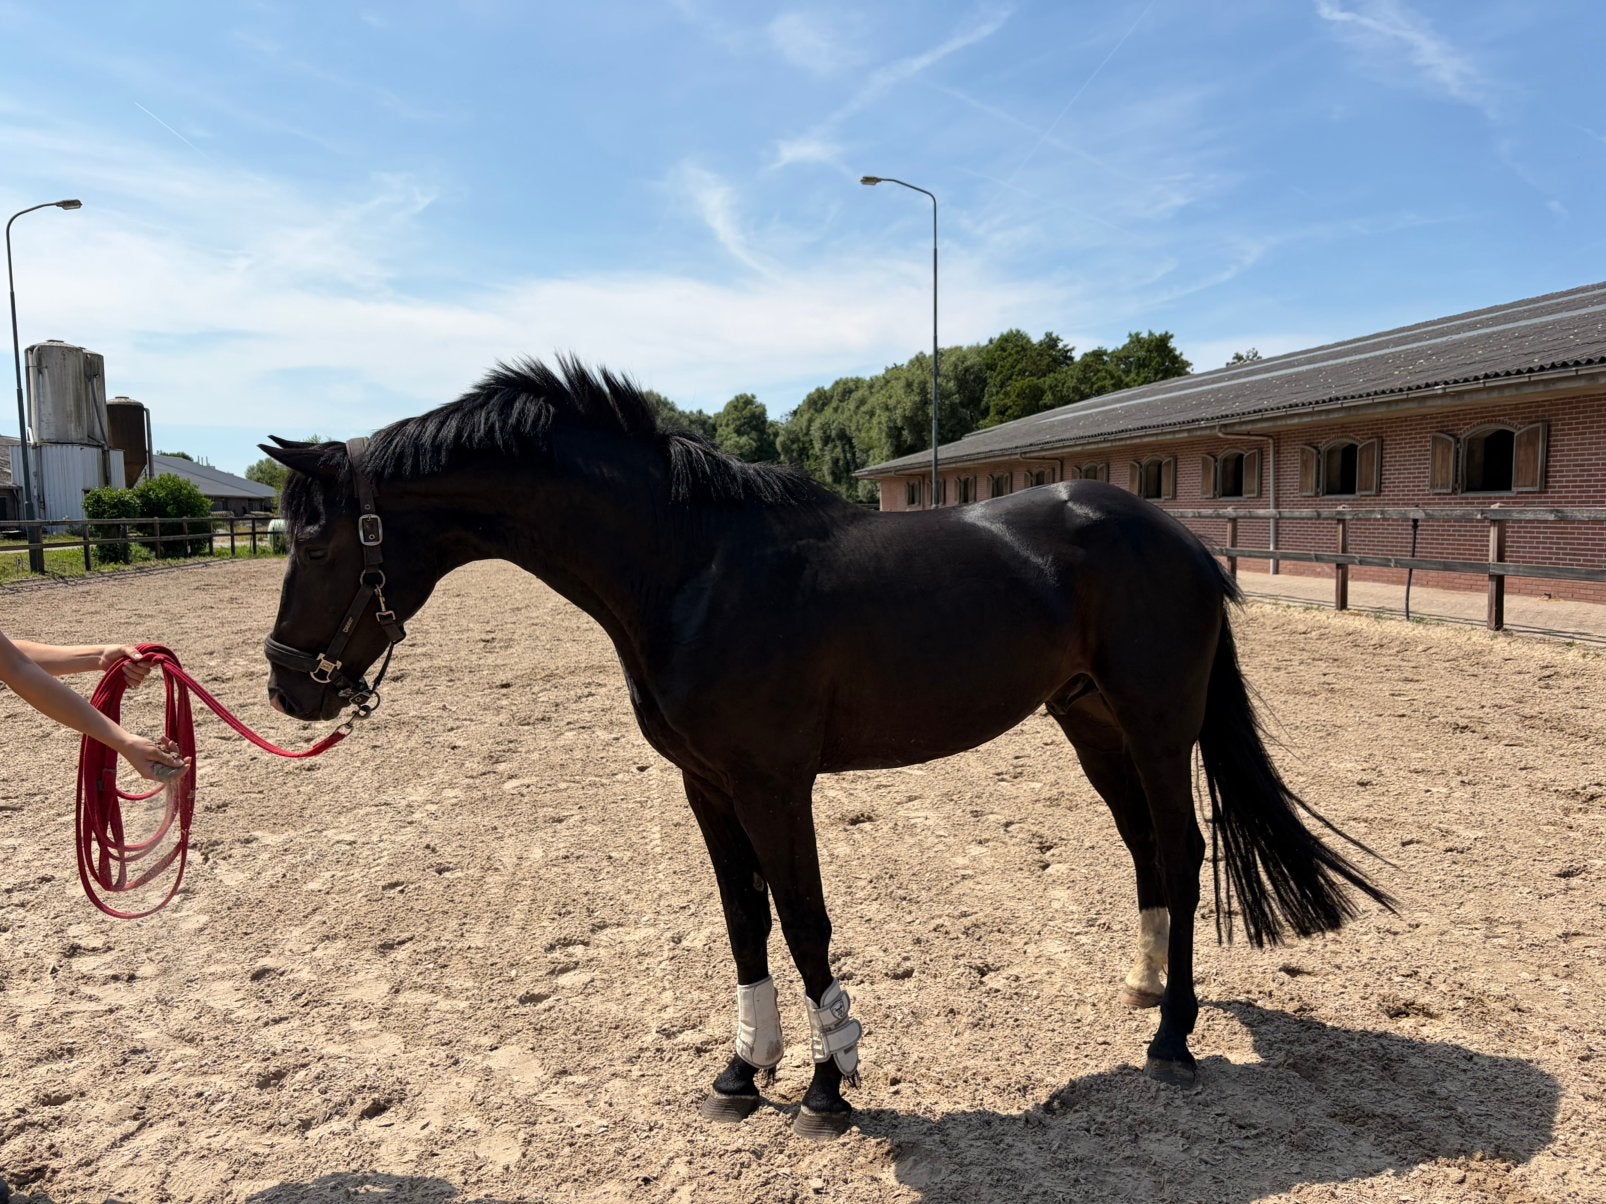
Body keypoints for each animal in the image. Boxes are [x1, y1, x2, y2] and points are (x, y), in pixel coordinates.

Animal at [258, 358, 1394, 1140]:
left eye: (313, 537)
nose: (283, 683)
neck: (696, 568)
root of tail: (1180, 538)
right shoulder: (708, 786)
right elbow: (745, 922)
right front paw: (739, 1073)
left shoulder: (774, 783)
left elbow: (805, 922)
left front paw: (824, 1084)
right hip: (1089, 722)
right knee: (1146, 851)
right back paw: (1145, 991)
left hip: (1157, 725)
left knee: (1187, 852)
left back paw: (1173, 1041)